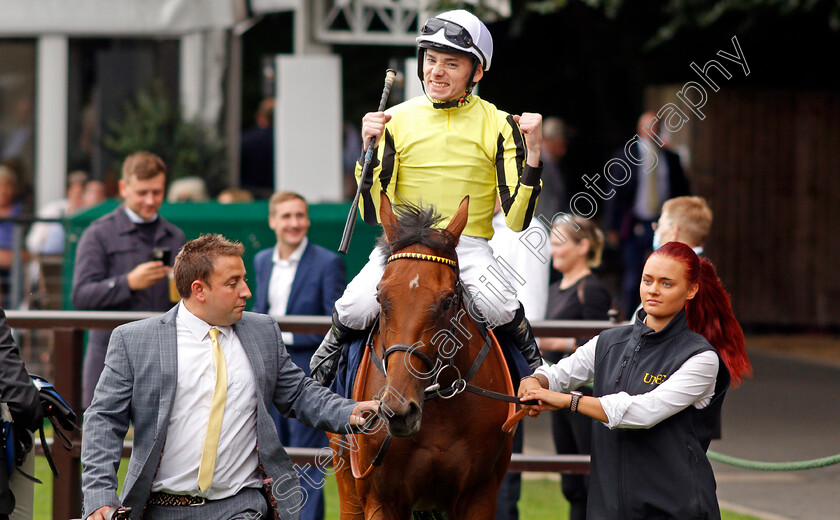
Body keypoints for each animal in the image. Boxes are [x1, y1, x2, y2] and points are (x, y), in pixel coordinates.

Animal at [328, 193, 520, 516]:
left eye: (447, 301)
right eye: (380, 296)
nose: (398, 410)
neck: (437, 409)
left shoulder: (479, 497)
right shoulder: (382, 501)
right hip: (347, 481)